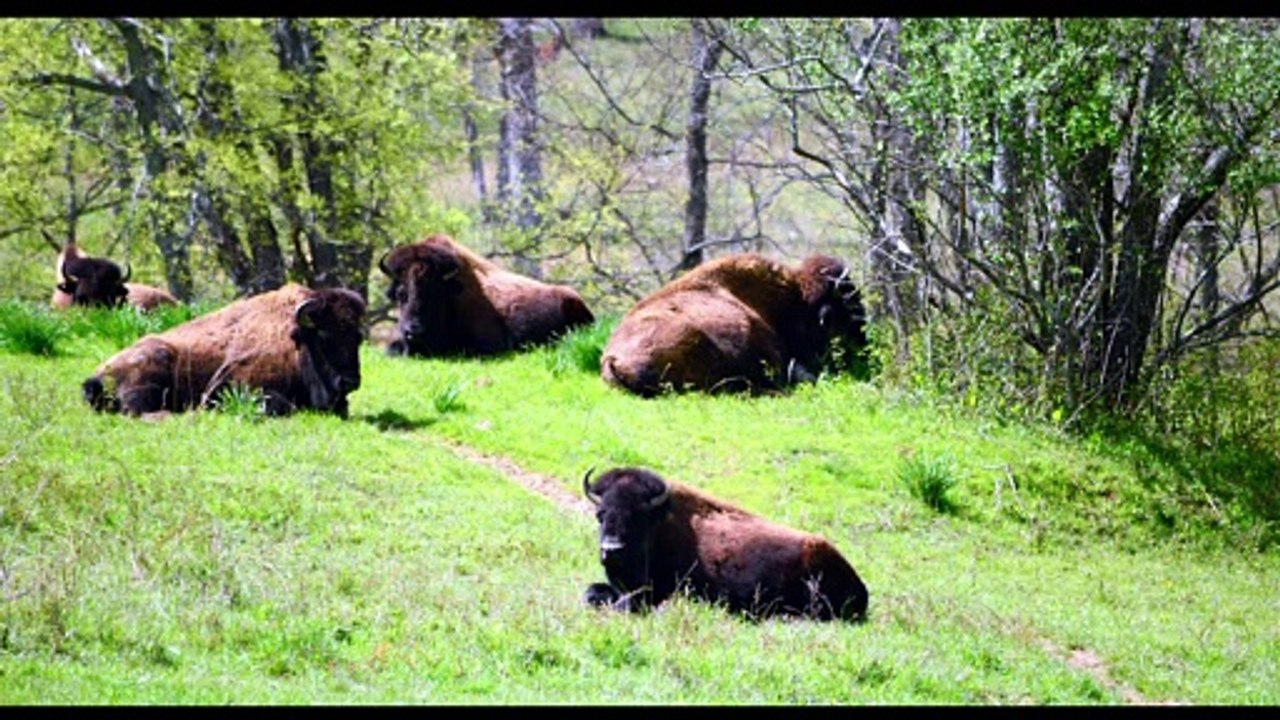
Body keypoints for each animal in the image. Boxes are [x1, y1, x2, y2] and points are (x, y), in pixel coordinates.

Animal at [82, 283, 365, 419]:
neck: (295, 341)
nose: (350, 381)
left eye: (358, 337)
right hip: (154, 363)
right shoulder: (233, 385)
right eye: (324, 336)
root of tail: (96, 375)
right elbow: (283, 405)